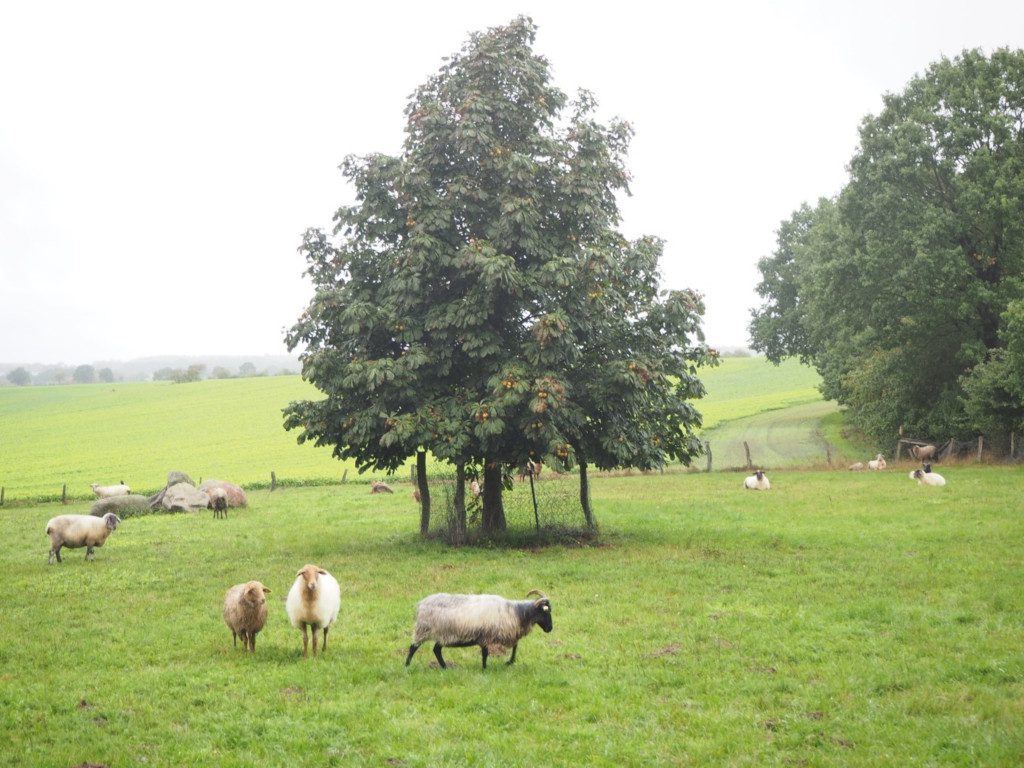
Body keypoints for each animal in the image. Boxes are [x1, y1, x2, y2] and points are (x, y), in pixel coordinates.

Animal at [405, 593, 557, 671]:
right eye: (546, 612)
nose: (550, 628)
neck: (517, 613)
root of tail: (420, 604)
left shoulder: (504, 633)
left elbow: (515, 645)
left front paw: (510, 661)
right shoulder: (486, 636)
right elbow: (485, 653)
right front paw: (485, 668)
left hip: (442, 635)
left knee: (436, 650)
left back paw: (445, 667)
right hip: (423, 630)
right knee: (413, 647)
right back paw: (406, 666)